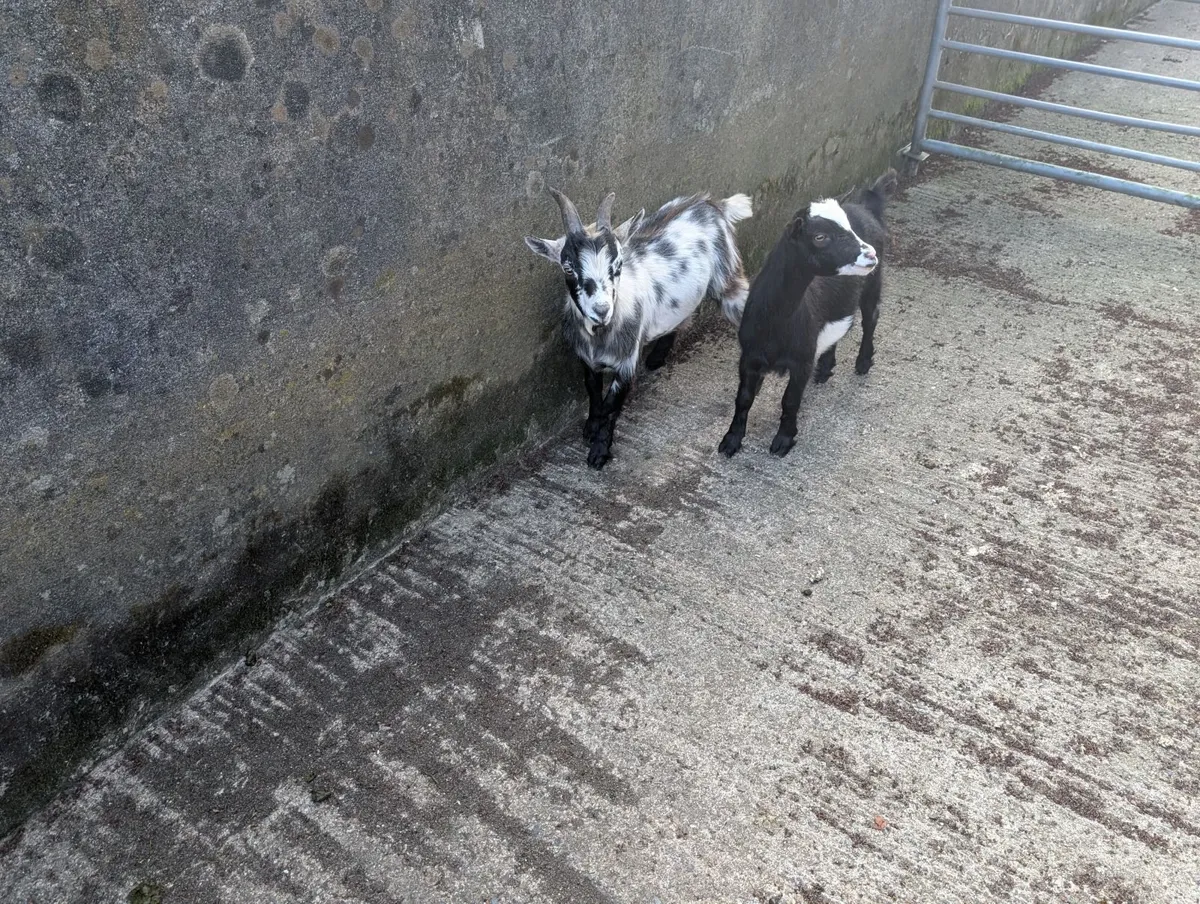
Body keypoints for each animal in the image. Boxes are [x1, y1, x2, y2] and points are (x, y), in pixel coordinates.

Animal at [526, 187, 752, 469]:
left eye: (618, 265)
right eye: (568, 267)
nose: (602, 310)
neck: (600, 336)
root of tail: (713, 205)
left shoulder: (626, 362)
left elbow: (611, 404)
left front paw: (598, 451)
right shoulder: (587, 361)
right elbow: (593, 391)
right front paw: (590, 427)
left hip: (728, 282)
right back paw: (656, 358)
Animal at [718, 169, 898, 459]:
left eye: (848, 230)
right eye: (820, 237)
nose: (869, 254)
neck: (776, 324)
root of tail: (866, 207)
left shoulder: (801, 359)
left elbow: (790, 400)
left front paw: (783, 440)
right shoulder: (748, 356)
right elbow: (743, 398)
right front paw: (731, 440)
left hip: (874, 281)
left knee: (870, 318)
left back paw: (863, 362)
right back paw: (825, 367)